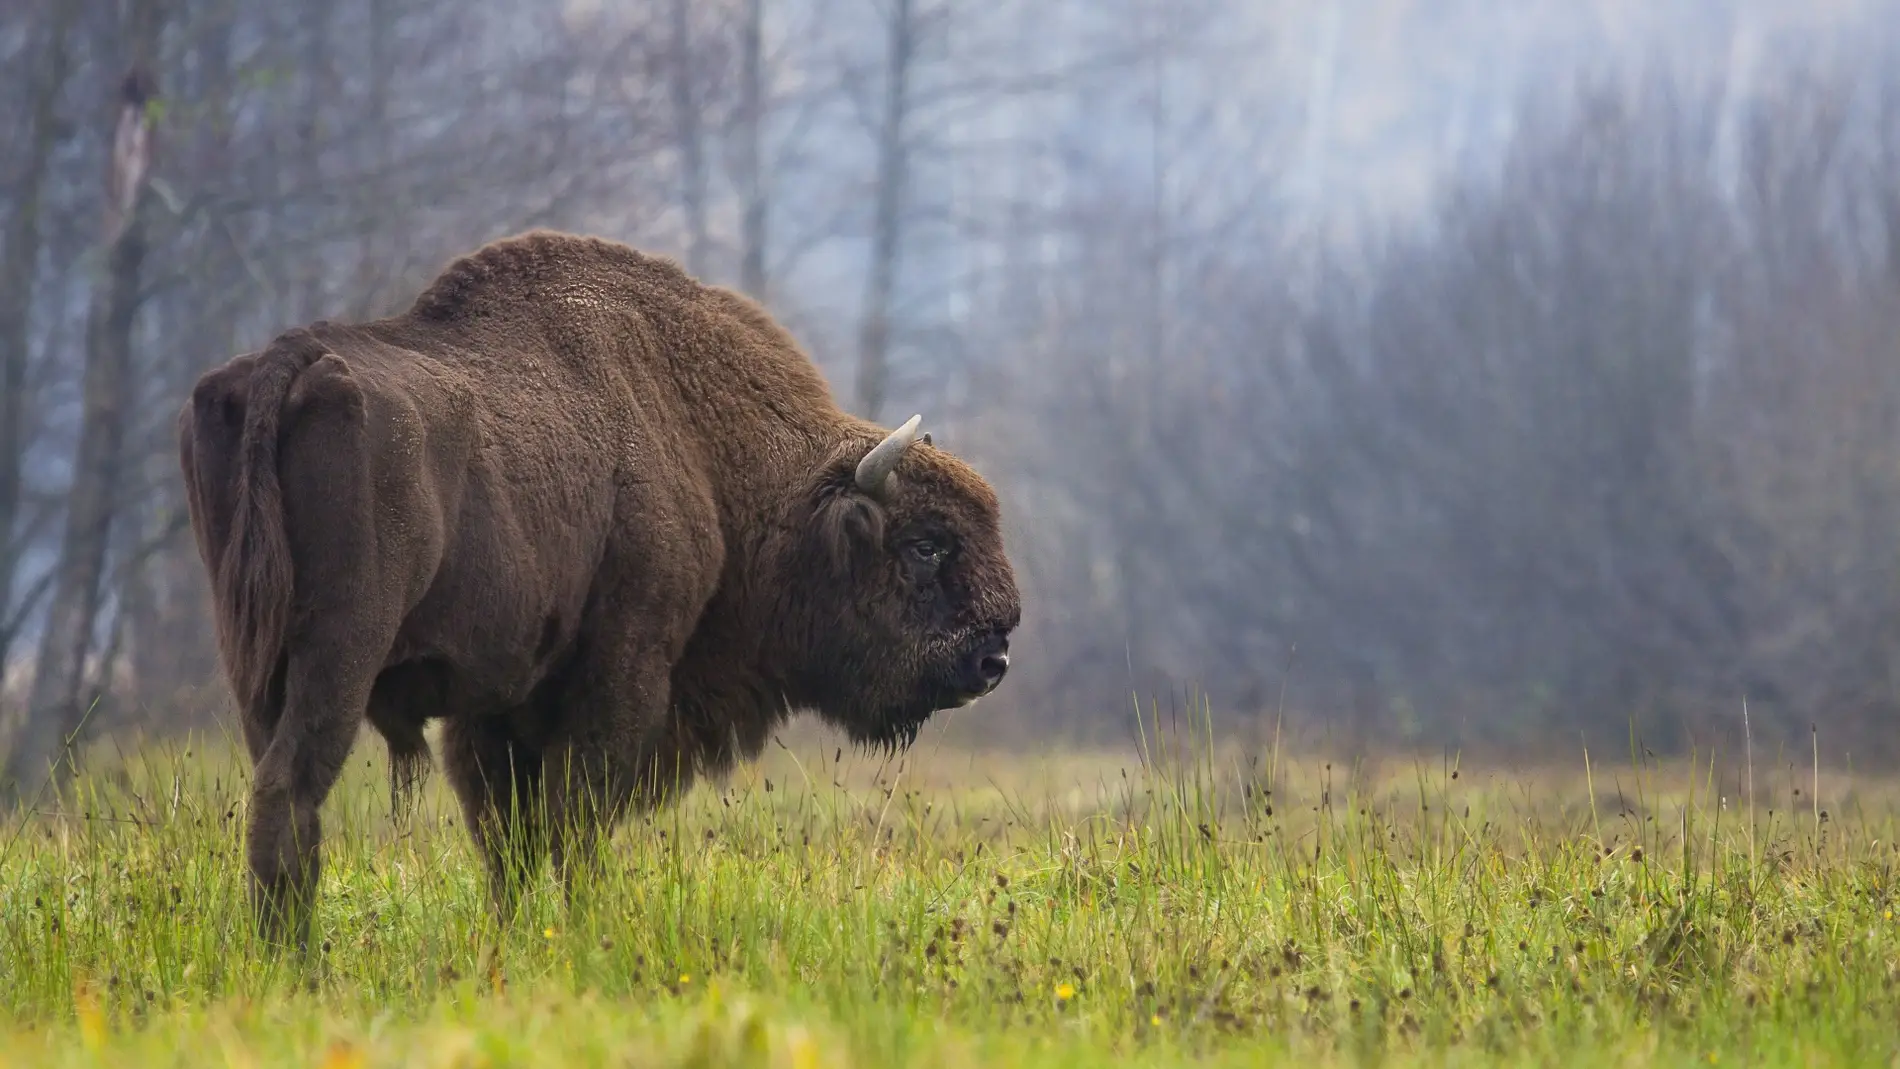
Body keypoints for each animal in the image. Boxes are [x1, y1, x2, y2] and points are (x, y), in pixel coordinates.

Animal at [178, 229, 1026, 949]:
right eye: (925, 543)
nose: (994, 656)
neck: (705, 444)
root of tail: (288, 361)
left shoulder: (495, 708)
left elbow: (510, 837)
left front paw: (518, 938)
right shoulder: (621, 673)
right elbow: (574, 822)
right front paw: (583, 932)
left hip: (253, 661)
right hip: (341, 653)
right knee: (292, 788)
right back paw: (296, 960)